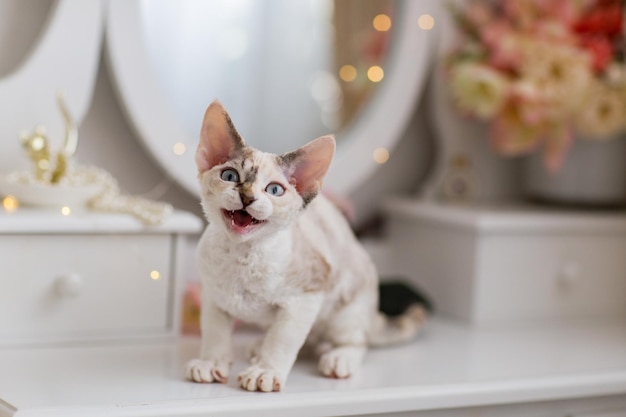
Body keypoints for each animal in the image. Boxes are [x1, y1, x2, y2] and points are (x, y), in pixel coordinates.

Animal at [183, 100, 422, 390]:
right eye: (230, 175)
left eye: (274, 190)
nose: (247, 196)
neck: (243, 254)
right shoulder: (214, 296)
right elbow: (215, 332)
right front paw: (211, 362)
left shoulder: (306, 295)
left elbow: (283, 339)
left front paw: (265, 371)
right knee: (309, 339)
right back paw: (260, 347)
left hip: (347, 306)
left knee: (355, 340)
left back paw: (338, 357)